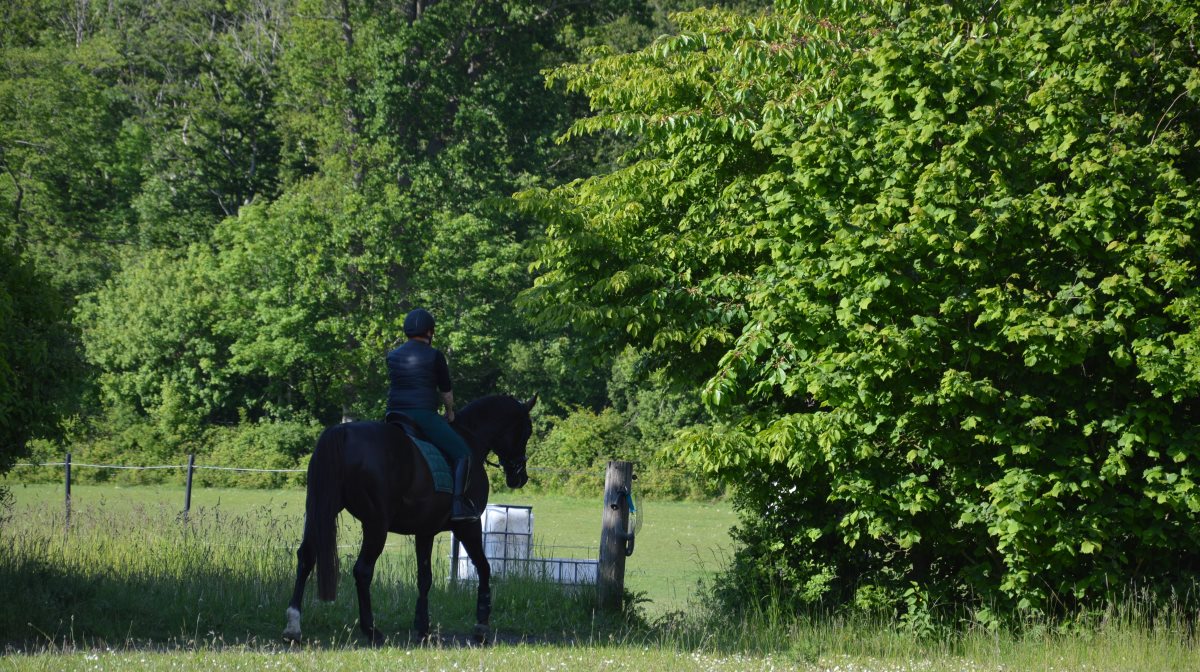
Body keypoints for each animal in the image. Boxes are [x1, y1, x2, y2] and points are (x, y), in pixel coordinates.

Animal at [283, 393, 532, 648]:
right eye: (526, 431)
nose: (519, 477)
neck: (470, 437)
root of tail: (342, 433)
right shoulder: (468, 525)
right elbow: (484, 568)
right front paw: (481, 627)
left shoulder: (425, 531)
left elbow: (424, 578)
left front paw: (423, 628)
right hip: (376, 525)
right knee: (362, 571)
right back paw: (372, 631)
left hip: (321, 512)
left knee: (306, 558)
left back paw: (293, 627)